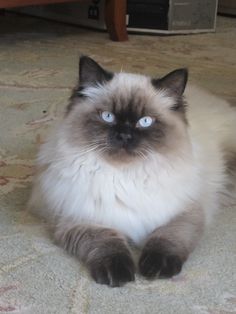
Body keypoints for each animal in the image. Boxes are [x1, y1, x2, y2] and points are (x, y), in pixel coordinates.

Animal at [29, 55, 236, 288]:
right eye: (108, 116)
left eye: (145, 121)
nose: (124, 135)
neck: (125, 176)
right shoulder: (80, 220)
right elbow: (107, 243)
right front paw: (117, 273)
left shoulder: (183, 212)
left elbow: (165, 238)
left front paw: (157, 267)